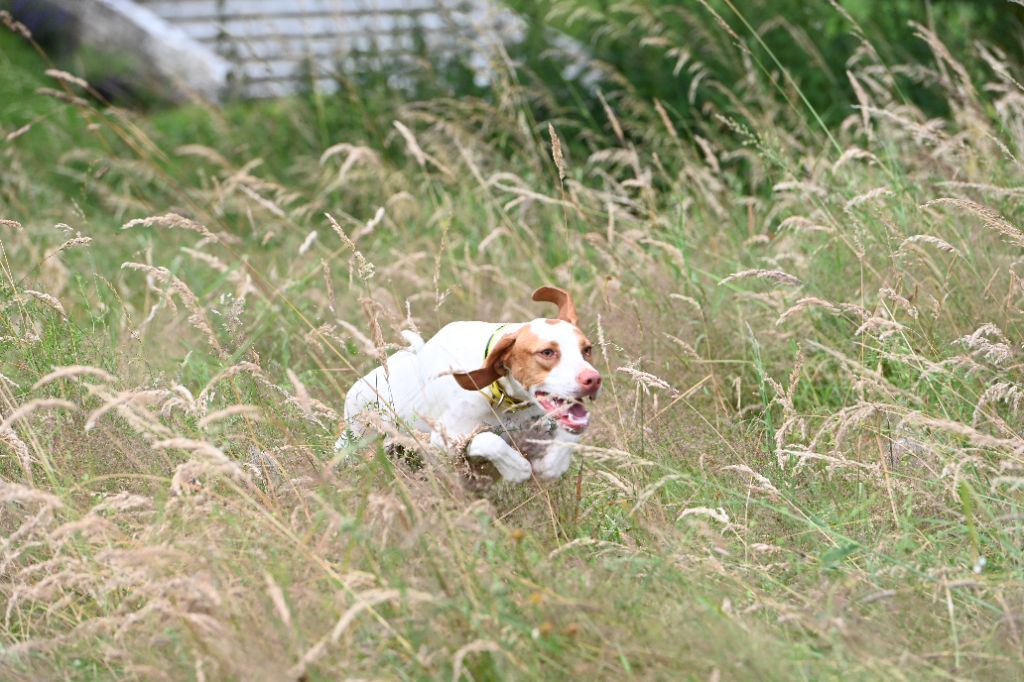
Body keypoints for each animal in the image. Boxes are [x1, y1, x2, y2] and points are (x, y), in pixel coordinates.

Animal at [342, 284, 598, 481]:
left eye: (587, 350)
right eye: (547, 352)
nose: (593, 379)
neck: (502, 396)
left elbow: (571, 435)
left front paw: (551, 465)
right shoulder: (445, 440)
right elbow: (489, 440)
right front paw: (516, 469)